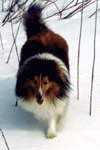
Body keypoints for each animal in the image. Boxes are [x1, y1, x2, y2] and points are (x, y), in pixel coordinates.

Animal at [15, 3, 70, 138]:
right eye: (34, 81)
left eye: (46, 82)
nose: (39, 97)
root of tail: (42, 30)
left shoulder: (58, 100)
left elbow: (54, 113)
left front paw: (51, 132)